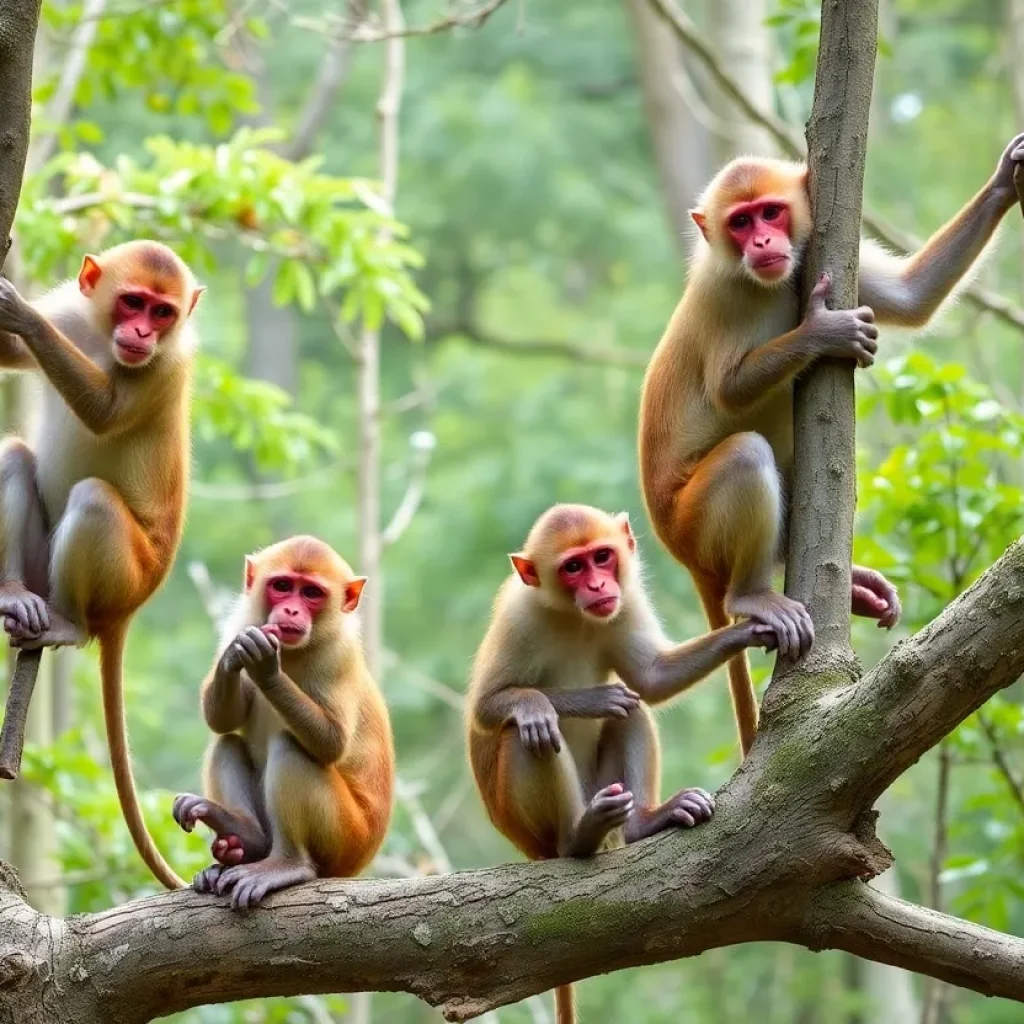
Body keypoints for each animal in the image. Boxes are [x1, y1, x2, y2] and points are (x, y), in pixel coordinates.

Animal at [169, 536, 393, 913]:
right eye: (283, 586)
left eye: (311, 593)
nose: (290, 611)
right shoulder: (239, 623)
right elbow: (223, 720)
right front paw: (234, 657)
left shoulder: (340, 655)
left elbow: (332, 743)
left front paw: (266, 670)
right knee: (227, 742)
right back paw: (244, 835)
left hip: (346, 839)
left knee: (290, 746)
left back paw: (288, 865)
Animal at [466, 503, 774, 1024]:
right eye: (573, 567)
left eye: (602, 558)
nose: (597, 587)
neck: (572, 615)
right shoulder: (518, 617)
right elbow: (488, 710)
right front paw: (584, 699)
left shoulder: (624, 602)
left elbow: (650, 681)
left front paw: (754, 624)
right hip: (531, 821)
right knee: (528, 734)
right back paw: (577, 837)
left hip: (603, 785)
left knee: (633, 713)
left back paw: (642, 822)